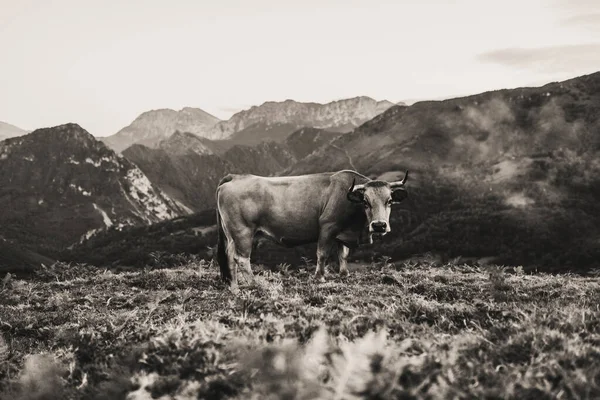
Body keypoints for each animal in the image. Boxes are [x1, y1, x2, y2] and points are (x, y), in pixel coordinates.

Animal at [216, 170, 408, 290]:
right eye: (366, 202)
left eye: (390, 201)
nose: (379, 225)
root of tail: (236, 177)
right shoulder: (327, 226)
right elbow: (322, 253)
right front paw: (320, 277)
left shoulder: (341, 233)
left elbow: (343, 254)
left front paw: (344, 274)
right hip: (243, 231)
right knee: (241, 259)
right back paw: (255, 283)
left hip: (231, 234)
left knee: (229, 256)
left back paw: (234, 286)